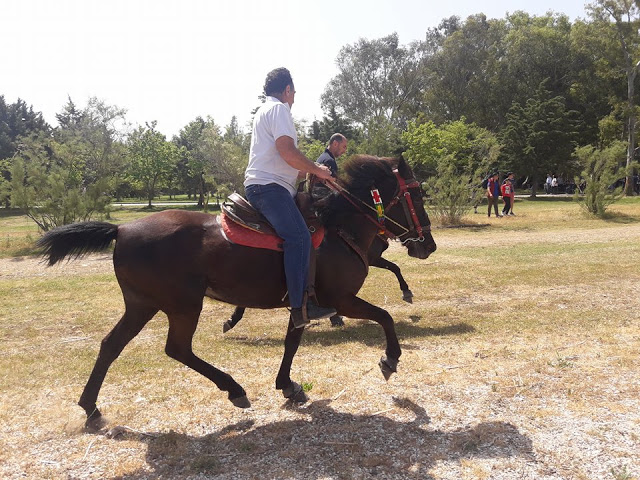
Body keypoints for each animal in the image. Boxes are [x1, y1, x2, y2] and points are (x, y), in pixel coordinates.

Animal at [38, 153, 436, 424]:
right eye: (417, 196)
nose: (428, 245)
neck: (339, 227)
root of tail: (122, 229)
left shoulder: (301, 304)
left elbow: (292, 342)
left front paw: (288, 386)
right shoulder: (340, 299)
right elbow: (384, 317)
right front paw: (390, 358)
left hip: (142, 304)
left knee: (111, 345)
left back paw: (90, 406)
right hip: (183, 305)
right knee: (177, 349)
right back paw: (234, 389)